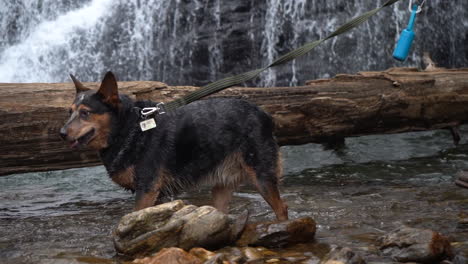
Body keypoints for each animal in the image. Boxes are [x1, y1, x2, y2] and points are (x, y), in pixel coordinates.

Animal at [60, 71, 288, 221]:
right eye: (69, 112)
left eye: (85, 113)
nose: (61, 133)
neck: (130, 129)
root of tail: (265, 114)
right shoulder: (158, 195)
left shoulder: (147, 188)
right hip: (222, 185)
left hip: (262, 175)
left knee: (282, 208)